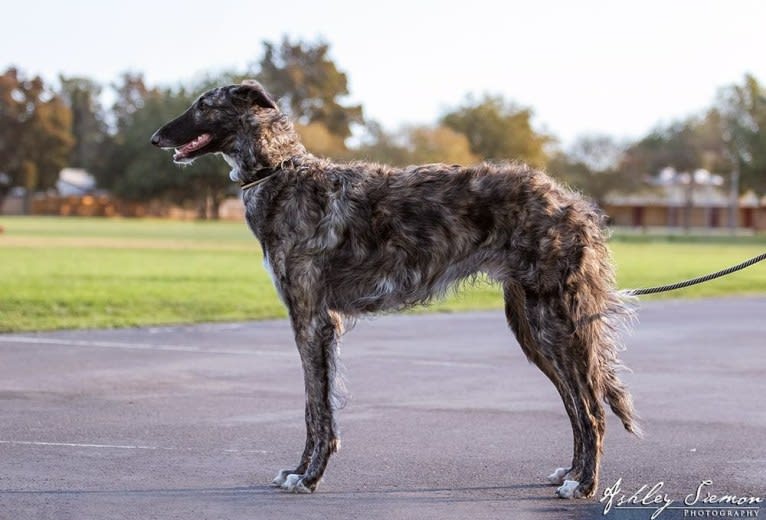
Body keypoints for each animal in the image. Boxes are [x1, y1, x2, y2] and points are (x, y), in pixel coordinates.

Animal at [152, 81, 640, 500]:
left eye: (204, 105)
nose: (156, 138)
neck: (281, 176)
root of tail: (574, 204)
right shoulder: (310, 320)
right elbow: (315, 406)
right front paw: (298, 471)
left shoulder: (312, 320)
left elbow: (318, 408)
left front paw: (309, 477)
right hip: (531, 325)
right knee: (575, 405)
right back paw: (572, 473)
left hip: (555, 322)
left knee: (591, 408)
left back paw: (585, 485)